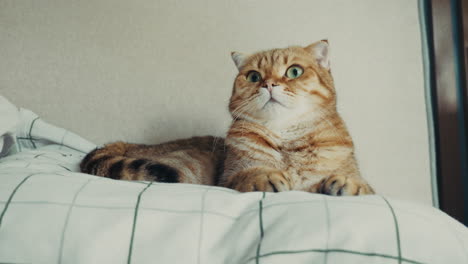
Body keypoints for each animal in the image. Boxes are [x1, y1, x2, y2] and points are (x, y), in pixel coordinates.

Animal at [79, 39, 372, 196]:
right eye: (253, 76)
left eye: (294, 71)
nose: (269, 84)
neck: (286, 140)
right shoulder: (229, 177)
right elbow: (248, 176)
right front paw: (265, 177)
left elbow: (361, 185)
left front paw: (347, 184)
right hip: (186, 168)